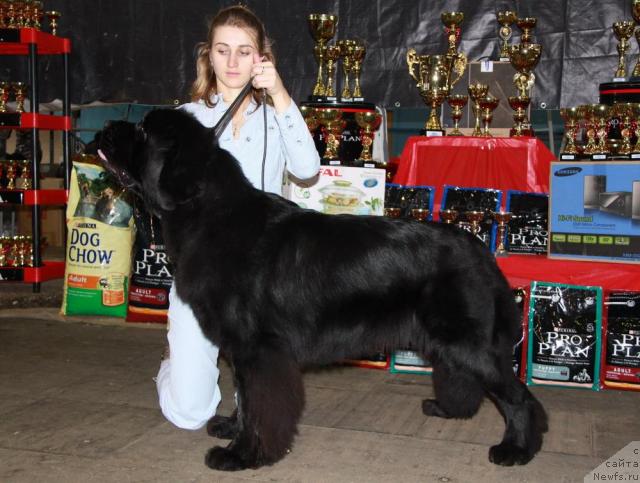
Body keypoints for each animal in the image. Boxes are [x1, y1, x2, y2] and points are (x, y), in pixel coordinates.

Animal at [97, 108, 548, 472]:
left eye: (143, 130)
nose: (104, 127)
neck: (210, 215)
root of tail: (480, 249)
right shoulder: (245, 350)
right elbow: (245, 398)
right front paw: (231, 428)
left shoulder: (259, 349)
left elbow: (259, 405)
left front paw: (242, 455)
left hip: (469, 342)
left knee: (518, 397)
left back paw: (517, 449)